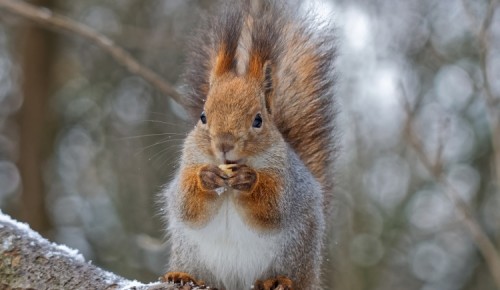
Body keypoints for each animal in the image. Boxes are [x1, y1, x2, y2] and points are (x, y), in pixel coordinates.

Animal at [162, 1, 338, 288]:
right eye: (203, 116)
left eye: (258, 120)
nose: (224, 144)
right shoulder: (189, 161)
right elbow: (186, 204)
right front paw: (206, 177)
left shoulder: (287, 180)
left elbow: (273, 208)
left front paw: (249, 180)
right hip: (189, 253)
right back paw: (182, 275)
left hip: (296, 254)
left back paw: (278, 280)